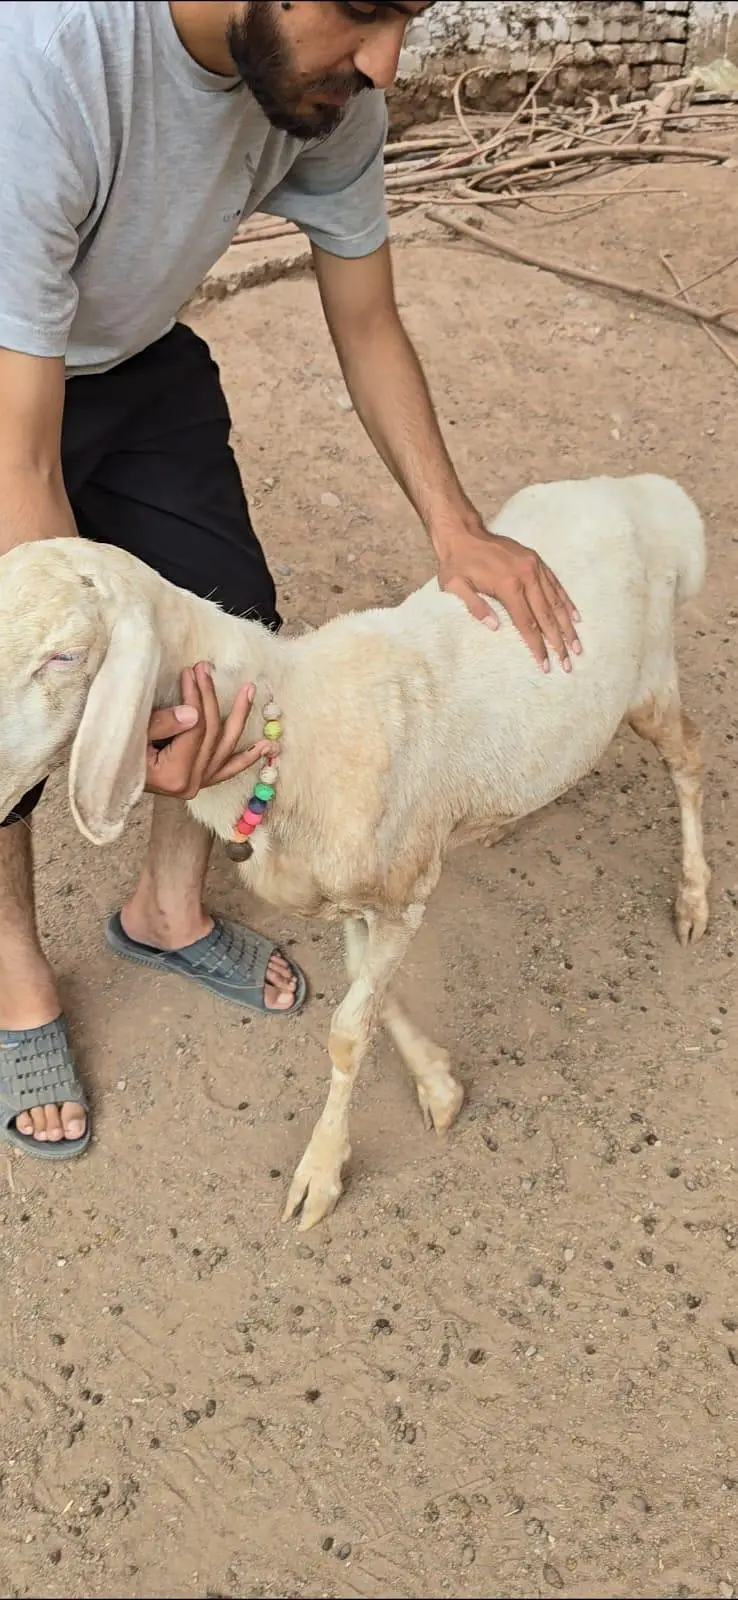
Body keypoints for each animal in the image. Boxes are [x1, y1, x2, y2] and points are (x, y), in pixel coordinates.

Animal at [0, 473, 710, 1229]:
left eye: (64, 655)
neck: (292, 723)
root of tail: (645, 492)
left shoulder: (403, 890)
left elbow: (347, 1028)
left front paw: (321, 1173)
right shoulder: (353, 898)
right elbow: (367, 990)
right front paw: (437, 1083)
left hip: (651, 680)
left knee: (689, 758)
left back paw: (694, 898)